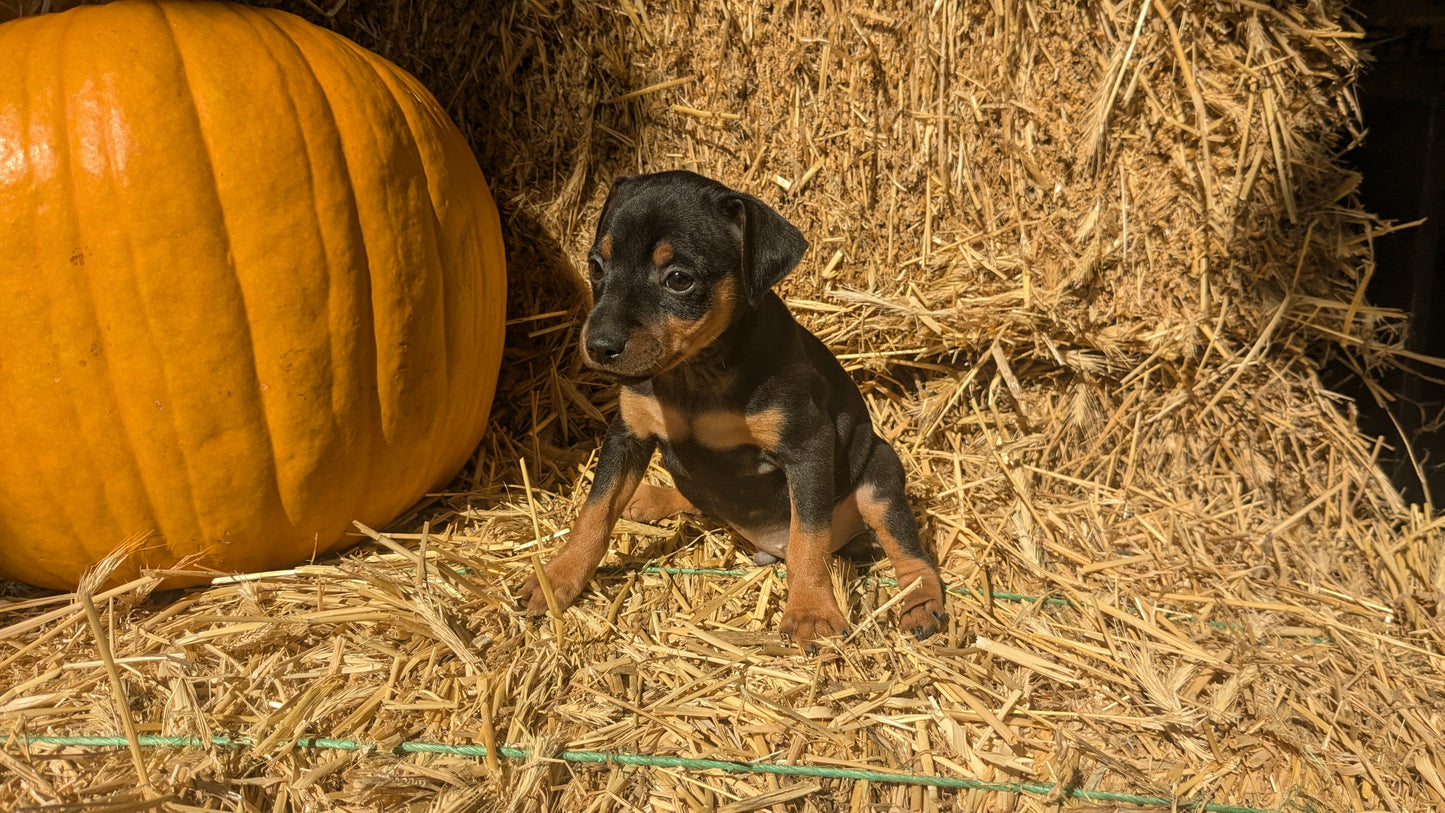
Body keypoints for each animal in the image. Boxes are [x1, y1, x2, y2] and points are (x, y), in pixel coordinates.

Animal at [523, 170, 947, 649]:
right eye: (596, 266)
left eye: (679, 279)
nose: (598, 347)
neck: (695, 372)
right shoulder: (627, 434)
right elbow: (594, 513)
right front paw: (556, 579)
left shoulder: (807, 446)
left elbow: (809, 538)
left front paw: (811, 612)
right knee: (700, 496)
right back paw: (649, 497)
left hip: (879, 473)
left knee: (909, 551)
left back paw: (920, 606)